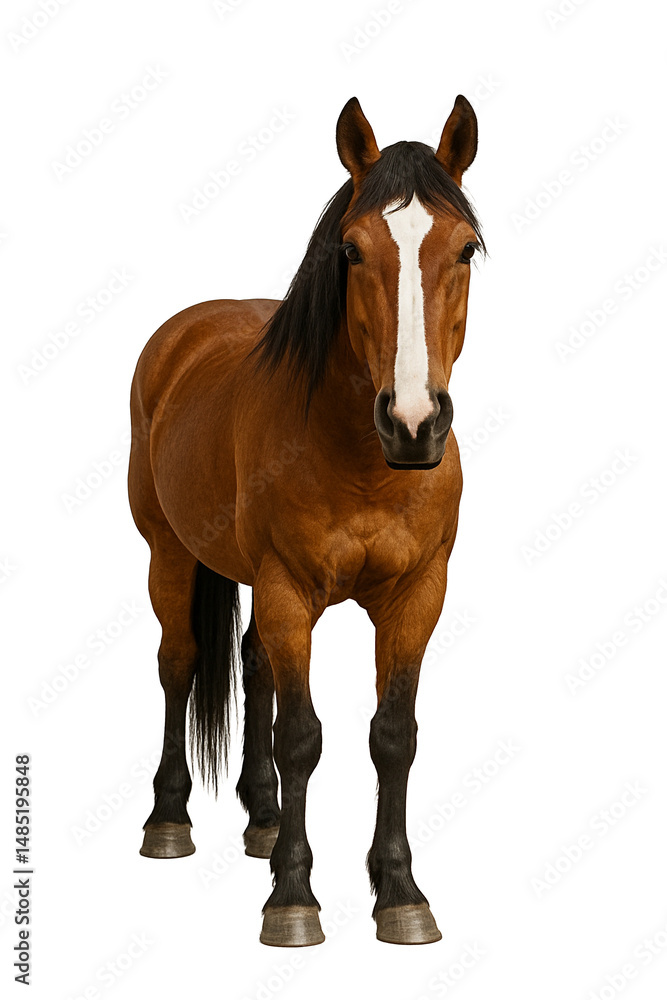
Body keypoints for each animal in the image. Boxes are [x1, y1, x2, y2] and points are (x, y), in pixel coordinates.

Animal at [128, 94, 484, 947]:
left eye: (464, 249)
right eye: (351, 250)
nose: (414, 424)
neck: (362, 461)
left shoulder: (417, 596)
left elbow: (392, 736)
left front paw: (399, 894)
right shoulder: (290, 591)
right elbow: (301, 736)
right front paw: (293, 899)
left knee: (253, 665)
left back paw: (261, 821)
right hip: (168, 553)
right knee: (179, 662)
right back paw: (168, 822)